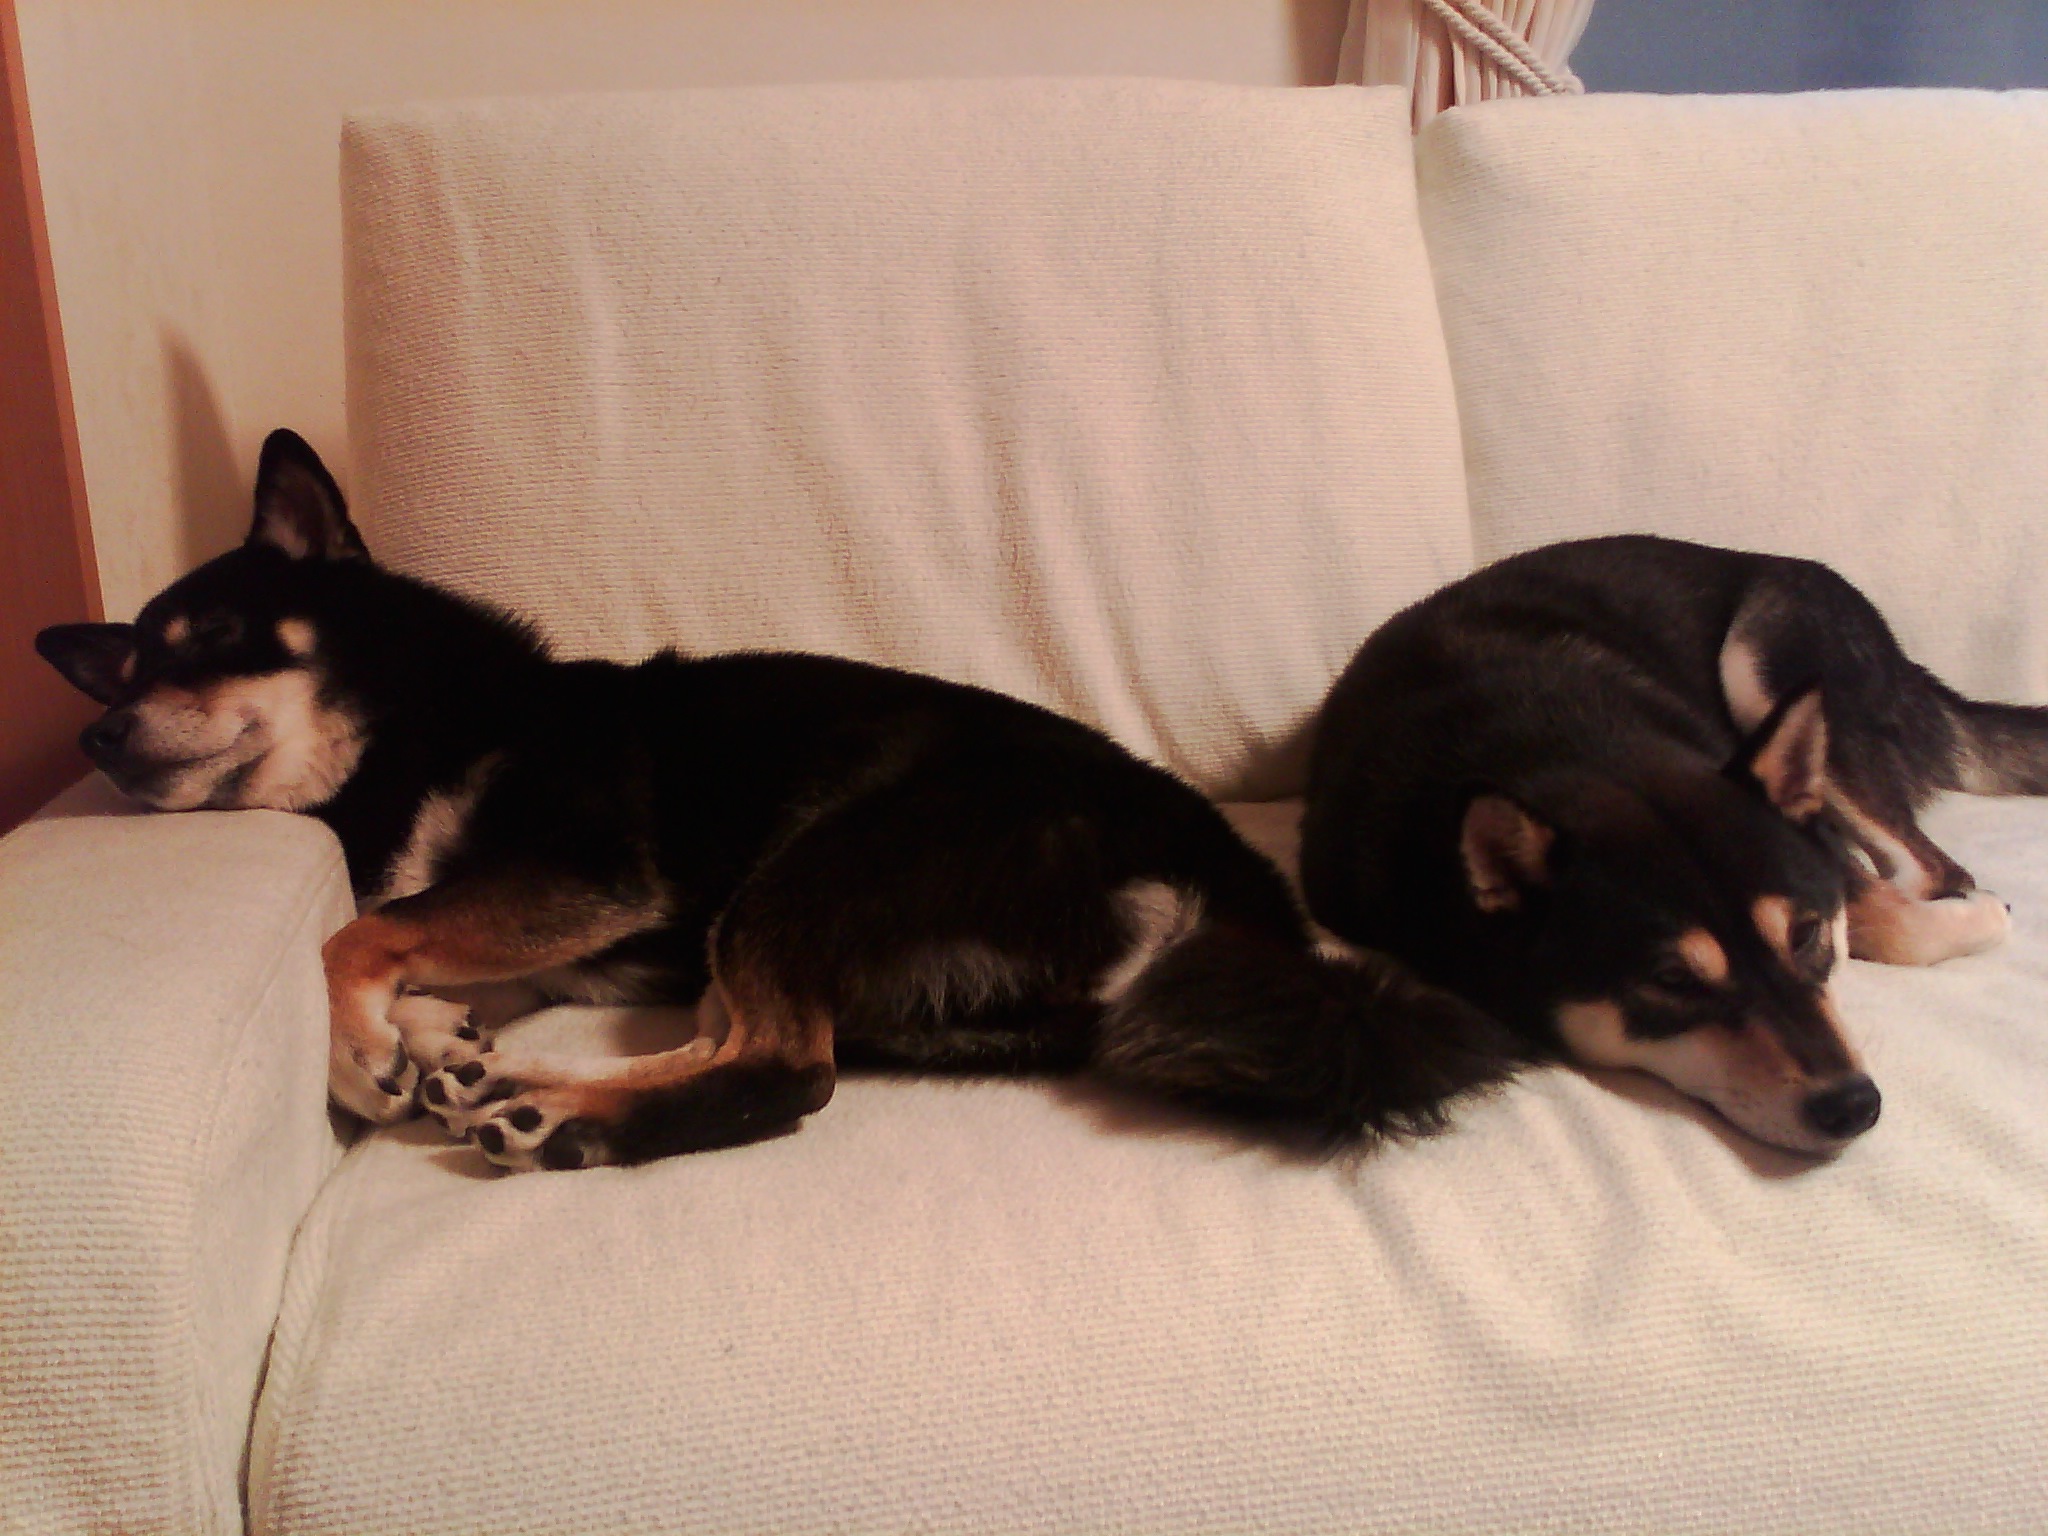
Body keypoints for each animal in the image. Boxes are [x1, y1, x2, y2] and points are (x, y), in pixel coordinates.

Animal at [36, 428, 1518, 1170]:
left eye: (211, 636)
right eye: (130, 663)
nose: (100, 731)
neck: (416, 721)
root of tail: (1230, 894)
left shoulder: (583, 873)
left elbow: (359, 929)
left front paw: (362, 1051)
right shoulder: (557, 914)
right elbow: (415, 944)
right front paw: (433, 1036)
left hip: (817, 866)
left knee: (788, 1073)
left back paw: (571, 1120)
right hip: (793, 937)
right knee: (751, 1042)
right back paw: (536, 1090)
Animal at [1300, 534, 2047, 1156]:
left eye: (1805, 936)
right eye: (1672, 982)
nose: (1853, 1108)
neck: (1561, 751)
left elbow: (1885, 917)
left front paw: (1967, 916)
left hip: (1765, 658)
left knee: (1929, 866)